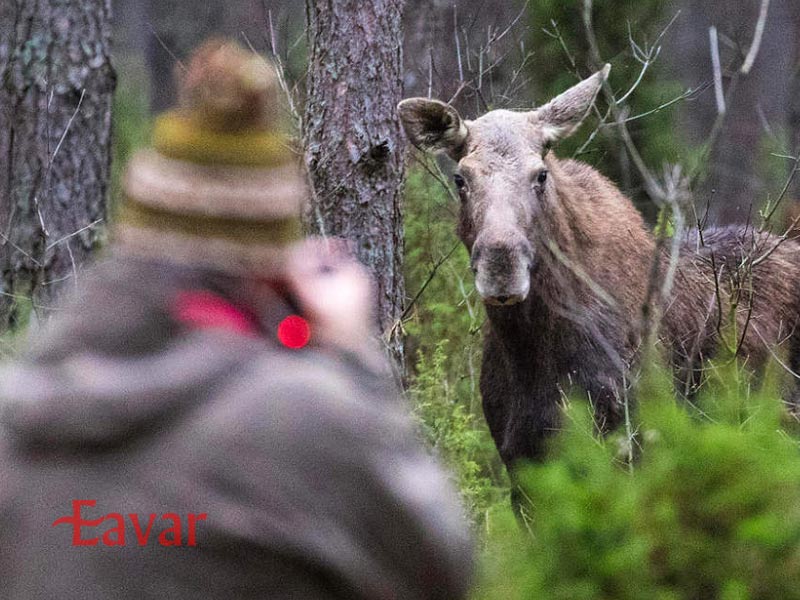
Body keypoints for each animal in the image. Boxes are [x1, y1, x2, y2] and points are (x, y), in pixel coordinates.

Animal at [400, 65, 800, 468]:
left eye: (541, 174)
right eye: (460, 178)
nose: (501, 266)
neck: (530, 351)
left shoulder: (629, 443)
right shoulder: (519, 456)